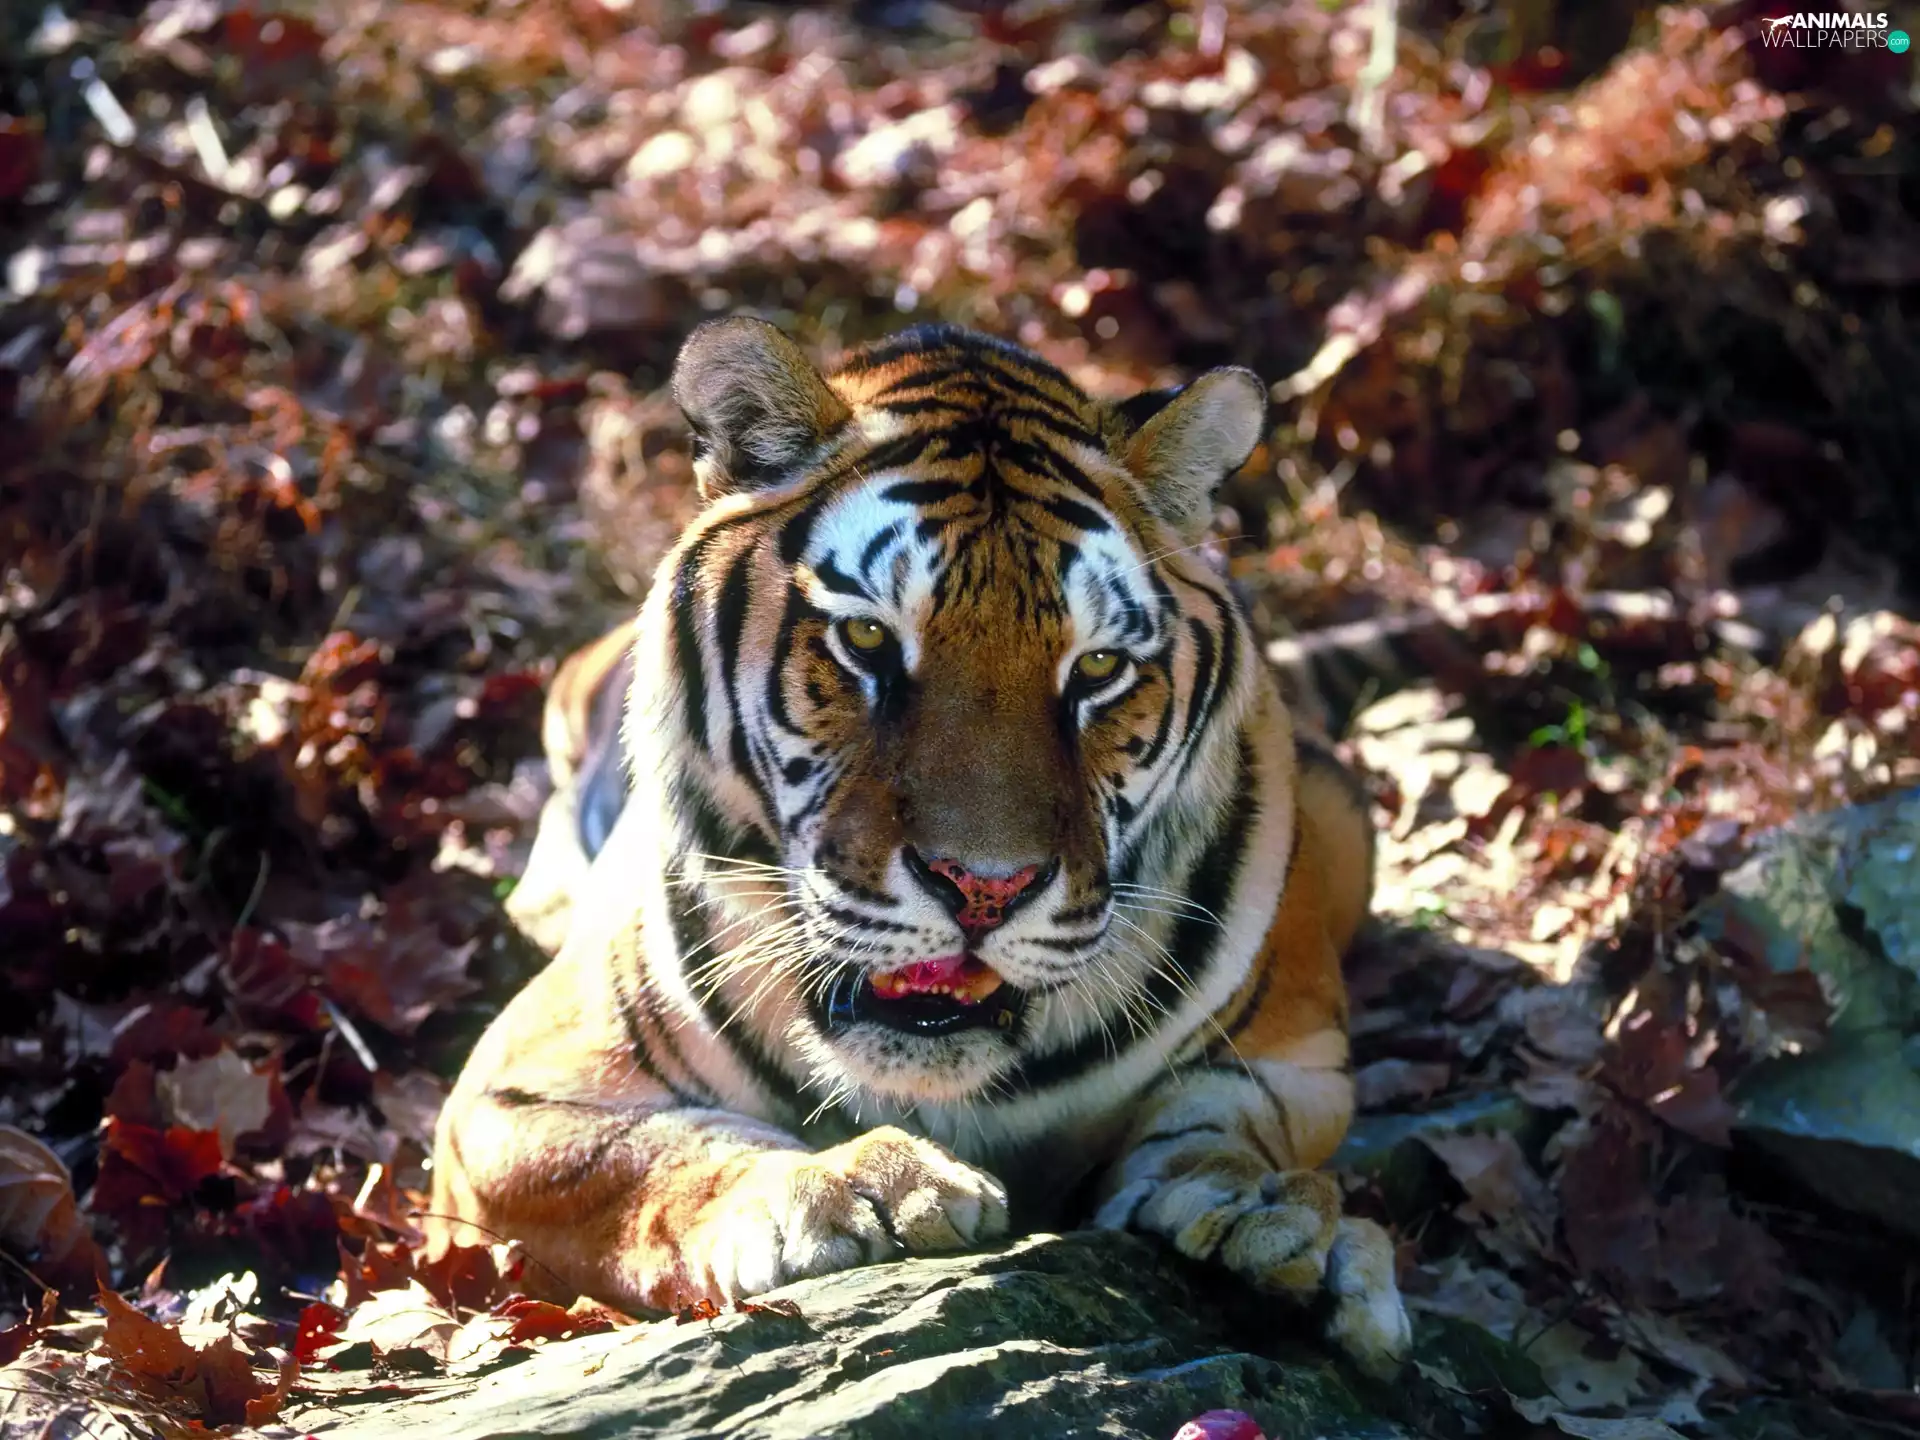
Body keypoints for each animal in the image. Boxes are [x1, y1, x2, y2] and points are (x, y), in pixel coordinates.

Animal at [427, 318, 1413, 1377]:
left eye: (1099, 667)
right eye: (866, 639)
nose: (984, 888)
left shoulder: (1294, 1056)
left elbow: (1225, 1131)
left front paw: (1280, 1227)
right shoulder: (510, 1097)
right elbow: (656, 1157)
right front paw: (849, 1188)